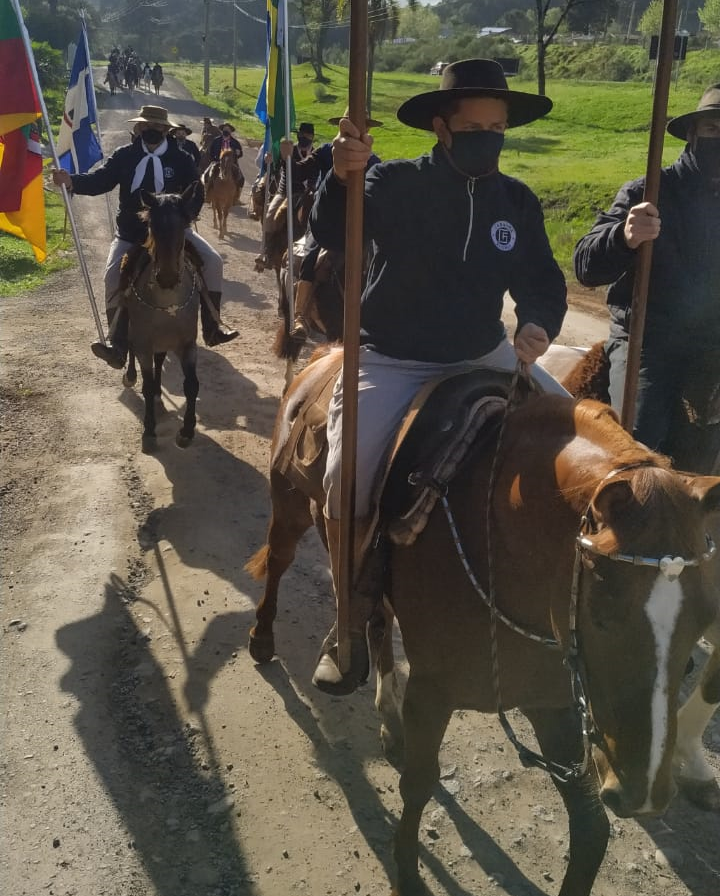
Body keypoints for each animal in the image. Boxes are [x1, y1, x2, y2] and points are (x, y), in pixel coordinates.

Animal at [119, 187, 202, 456]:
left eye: (183, 226)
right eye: (152, 226)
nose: (167, 277)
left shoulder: (187, 344)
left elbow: (191, 385)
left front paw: (186, 432)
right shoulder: (144, 343)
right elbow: (145, 384)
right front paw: (149, 432)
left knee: (159, 361)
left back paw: (158, 394)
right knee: (131, 348)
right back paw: (131, 376)